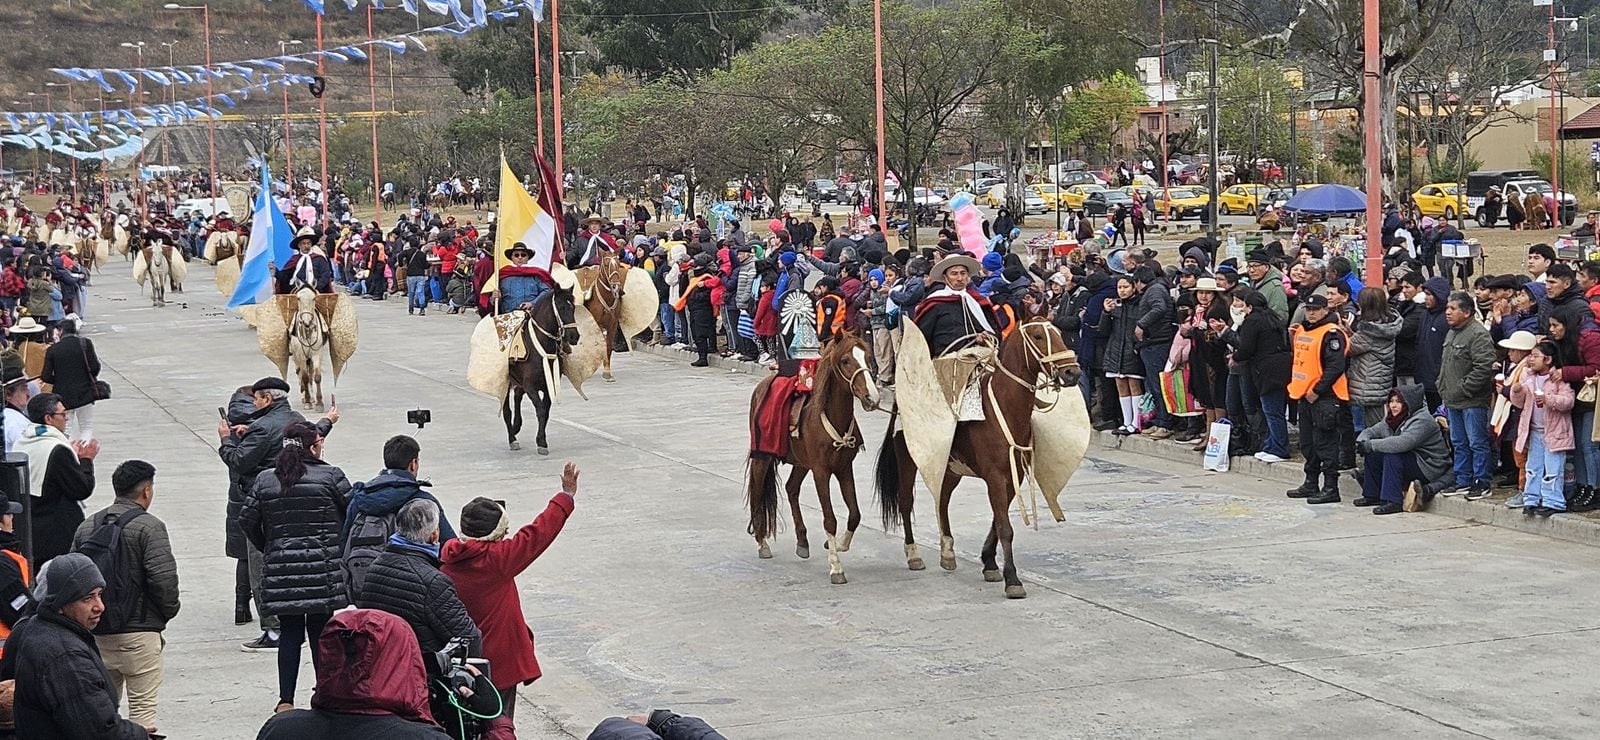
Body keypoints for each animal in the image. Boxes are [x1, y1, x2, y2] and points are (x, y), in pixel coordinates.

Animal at [505, 286, 582, 454]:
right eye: (561, 307)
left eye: (573, 307)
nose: (574, 336)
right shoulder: (530, 386)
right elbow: (540, 409)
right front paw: (541, 442)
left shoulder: (548, 385)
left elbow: (545, 412)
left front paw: (542, 440)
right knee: (507, 409)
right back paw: (512, 438)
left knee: (517, 396)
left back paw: (516, 426)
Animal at [745, 333, 883, 583]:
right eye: (846, 360)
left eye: (868, 357)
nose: (872, 398)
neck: (829, 415)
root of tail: (763, 384)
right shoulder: (821, 471)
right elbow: (830, 519)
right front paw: (836, 567)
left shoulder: (844, 469)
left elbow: (855, 514)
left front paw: (839, 545)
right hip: (763, 458)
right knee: (758, 494)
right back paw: (762, 543)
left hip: (801, 462)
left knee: (791, 489)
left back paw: (802, 541)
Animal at [876, 320, 1088, 599]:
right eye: (1038, 336)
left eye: (1059, 334)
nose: (1072, 372)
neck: (1005, 408)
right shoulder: (995, 477)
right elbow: (1005, 527)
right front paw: (1013, 580)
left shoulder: (1013, 477)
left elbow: (998, 521)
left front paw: (989, 563)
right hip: (909, 459)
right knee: (905, 501)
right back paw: (913, 555)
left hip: (951, 468)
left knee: (942, 501)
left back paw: (947, 552)